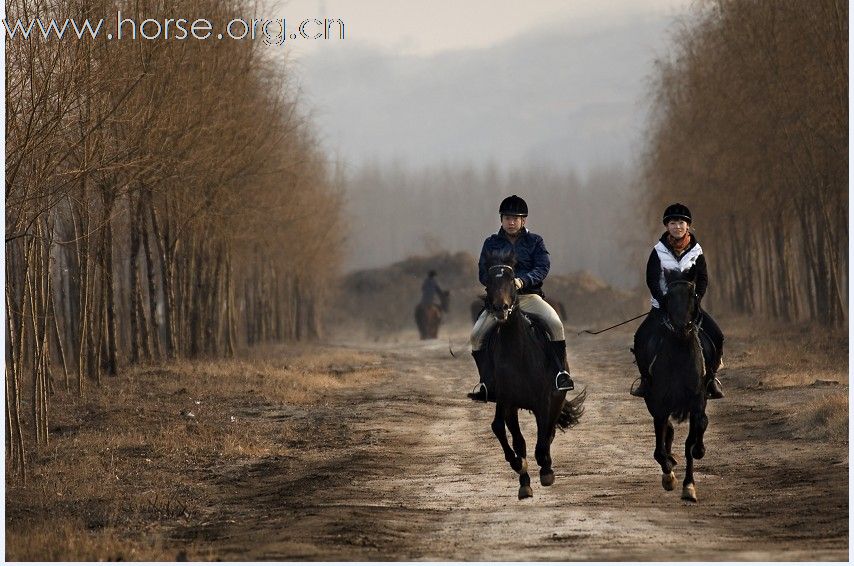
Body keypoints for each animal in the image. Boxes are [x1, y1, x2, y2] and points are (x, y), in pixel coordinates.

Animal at [482, 258, 588, 502]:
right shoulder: (507, 403)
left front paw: (546, 471)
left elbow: (542, 439)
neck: (517, 351)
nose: (501, 309)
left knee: (549, 433)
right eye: (489, 281)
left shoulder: (543, 401)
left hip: (557, 399)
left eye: (512, 280)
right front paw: (521, 473)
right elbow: (509, 436)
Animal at [644, 268, 712, 504]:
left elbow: (691, 443)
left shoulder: (697, 400)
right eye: (669, 296)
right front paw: (669, 475)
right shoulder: (660, 403)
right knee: (667, 431)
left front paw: (689, 487)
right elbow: (659, 449)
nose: (682, 327)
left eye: (693, 294)